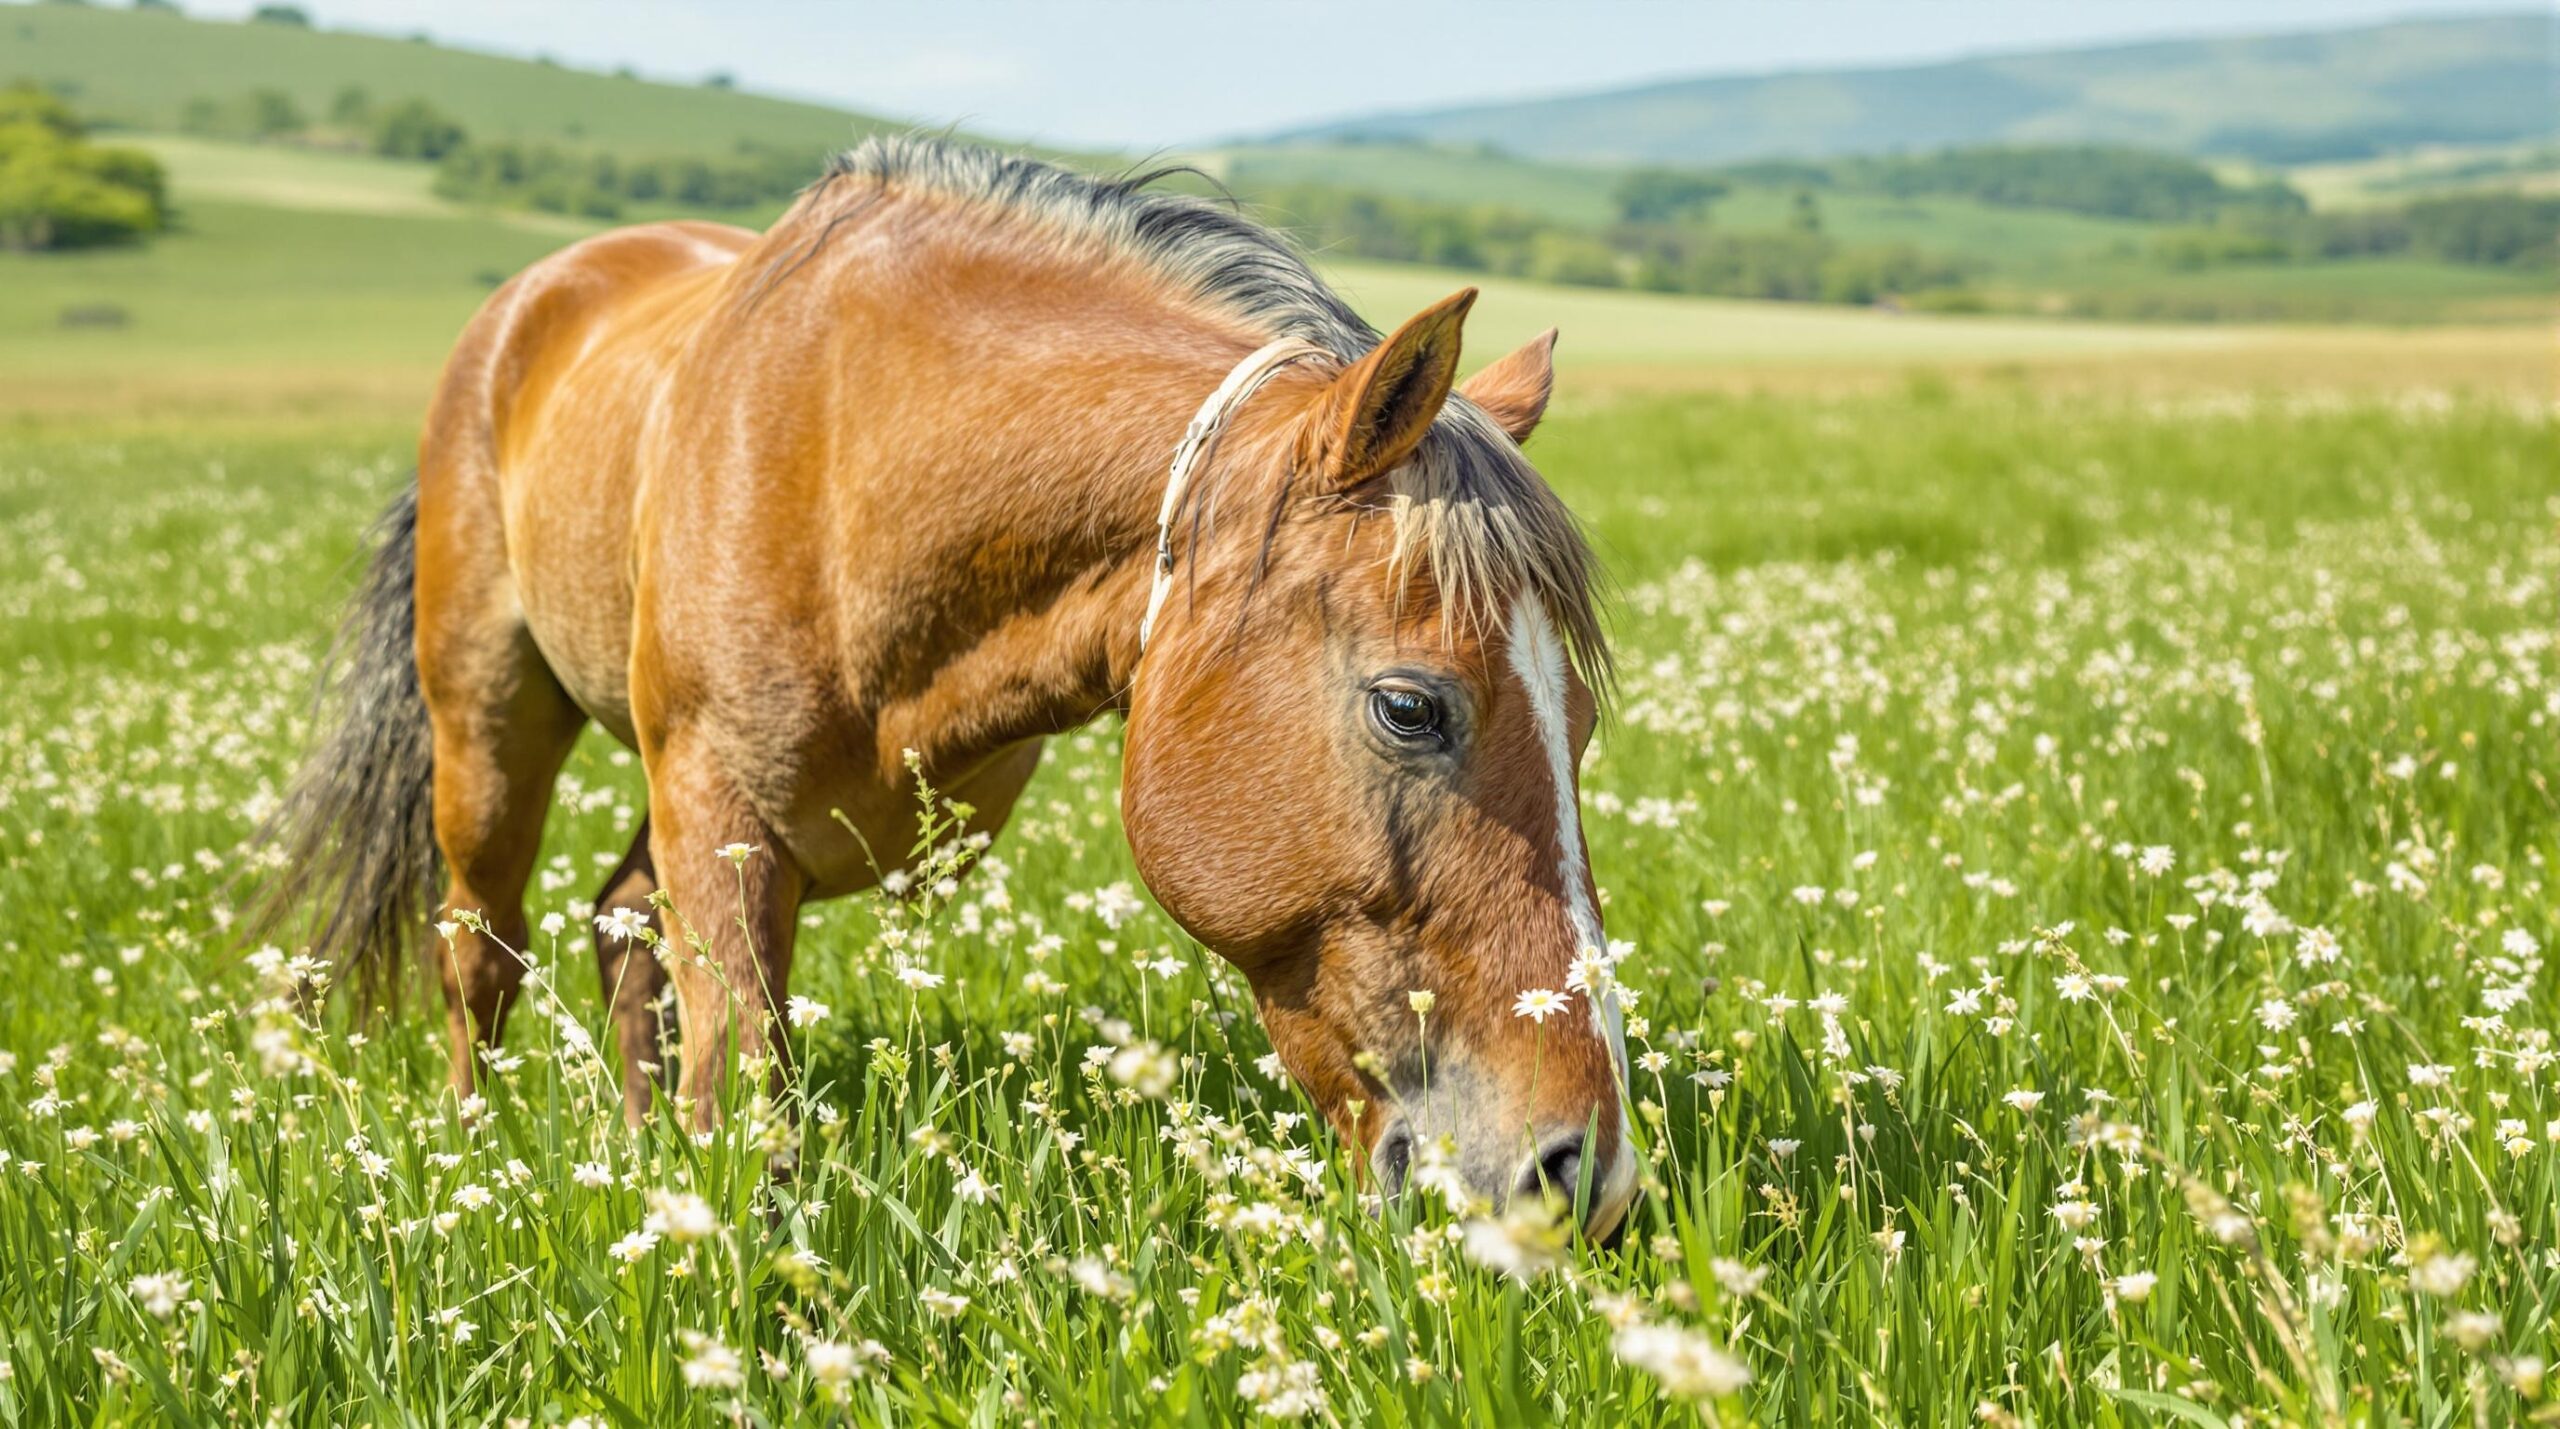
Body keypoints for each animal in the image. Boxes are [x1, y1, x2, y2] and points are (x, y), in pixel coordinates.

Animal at [249, 137, 1628, 1244]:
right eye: (1410, 707)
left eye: (1579, 725)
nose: (1584, 1176)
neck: (853, 474)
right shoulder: (723, 815)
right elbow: (742, 1096)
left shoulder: (729, 826)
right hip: (490, 728)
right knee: (479, 949)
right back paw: (465, 1159)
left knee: (620, 921)